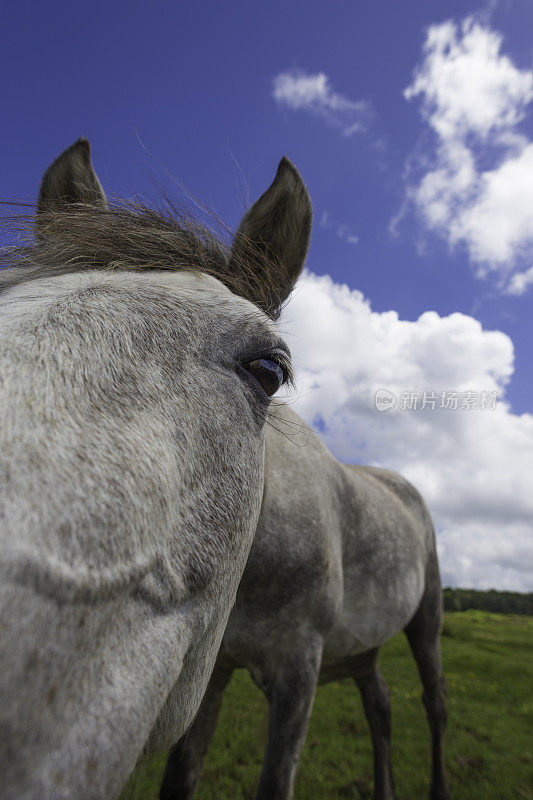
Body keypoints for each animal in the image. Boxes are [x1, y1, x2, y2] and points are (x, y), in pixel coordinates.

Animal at [161, 336, 448, 788]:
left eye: (269, 373)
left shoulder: (297, 669)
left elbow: (276, 780)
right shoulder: (211, 675)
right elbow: (182, 774)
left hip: (427, 621)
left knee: (434, 704)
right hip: (361, 653)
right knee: (379, 707)